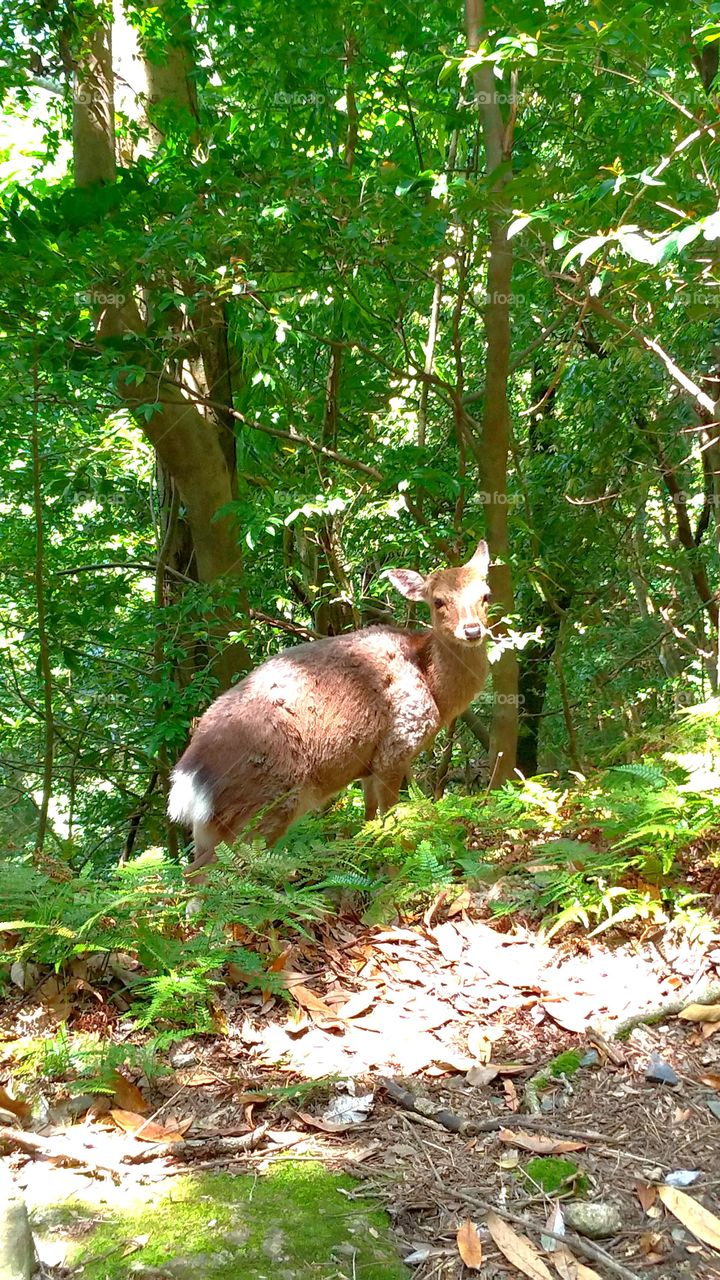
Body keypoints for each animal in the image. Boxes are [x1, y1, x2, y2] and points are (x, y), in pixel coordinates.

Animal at [167, 540, 489, 880]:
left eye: (486, 595)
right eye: (438, 600)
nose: (472, 630)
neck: (433, 689)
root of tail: (188, 777)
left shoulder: (368, 765)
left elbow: (370, 820)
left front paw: (370, 870)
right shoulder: (395, 748)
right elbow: (391, 821)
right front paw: (396, 875)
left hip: (211, 826)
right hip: (264, 803)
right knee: (203, 875)